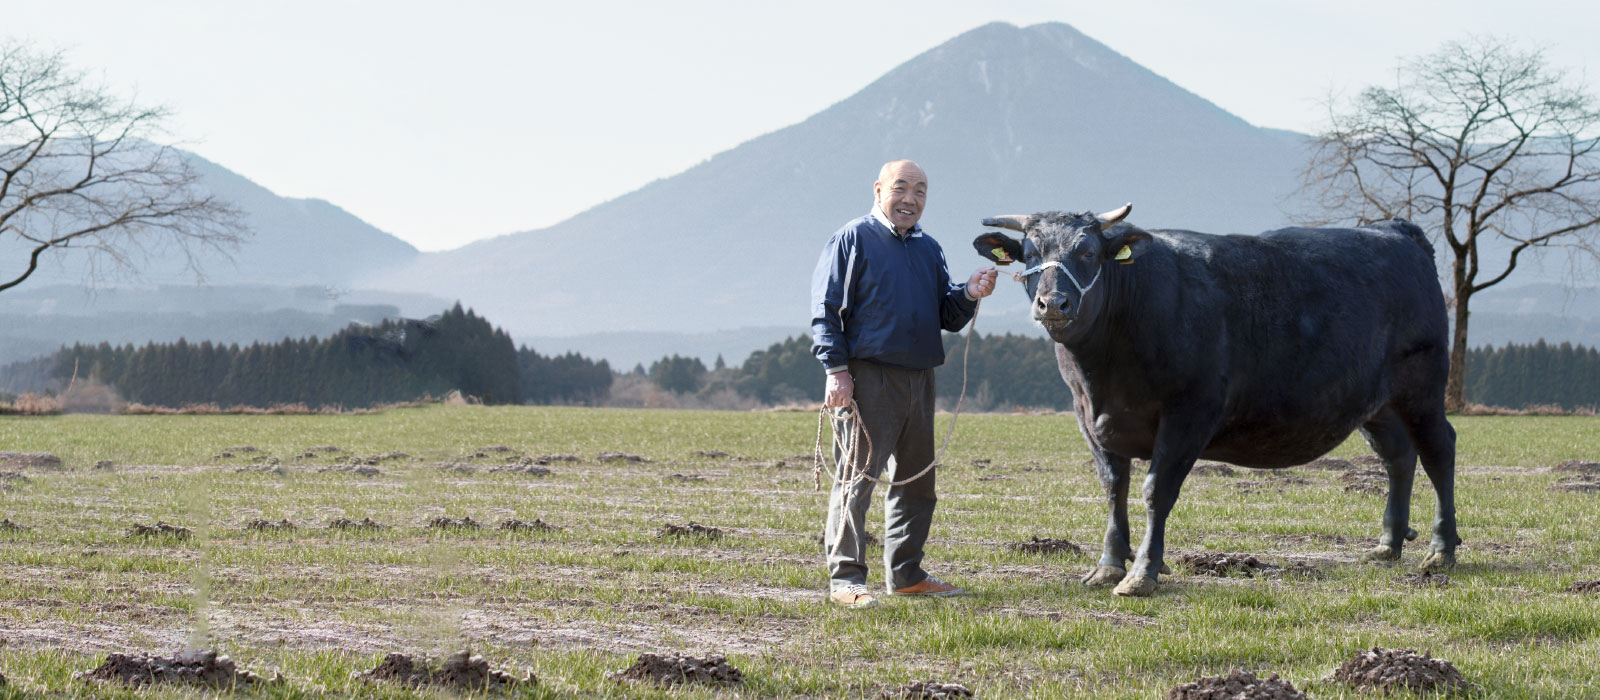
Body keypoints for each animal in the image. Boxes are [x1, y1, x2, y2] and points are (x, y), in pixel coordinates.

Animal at [966, 204, 1459, 597]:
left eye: (1088, 253)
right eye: (1030, 254)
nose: (1054, 303)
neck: (1103, 371)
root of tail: (1394, 230)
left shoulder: (1190, 411)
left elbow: (1156, 489)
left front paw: (1142, 573)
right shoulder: (1088, 415)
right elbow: (1113, 487)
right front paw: (1108, 566)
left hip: (1422, 388)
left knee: (1439, 451)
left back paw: (1441, 550)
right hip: (1375, 403)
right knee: (1398, 457)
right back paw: (1388, 545)